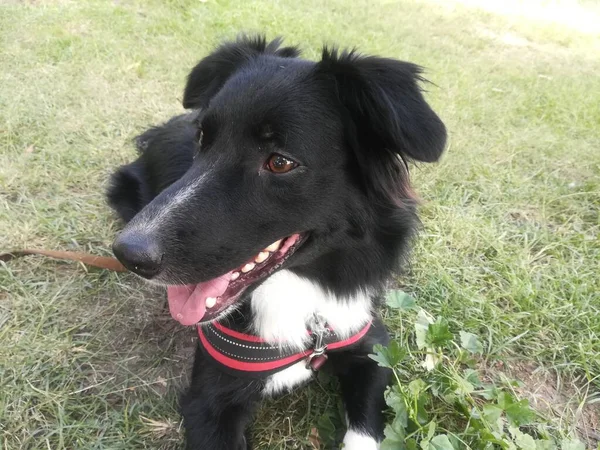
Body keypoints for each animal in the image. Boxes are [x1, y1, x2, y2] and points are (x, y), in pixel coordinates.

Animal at [106, 36, 446, 450]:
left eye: (280, 162)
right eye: (203, 139)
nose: (128, 254)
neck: (302, 293)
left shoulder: (370, 347)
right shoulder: (208, 402)